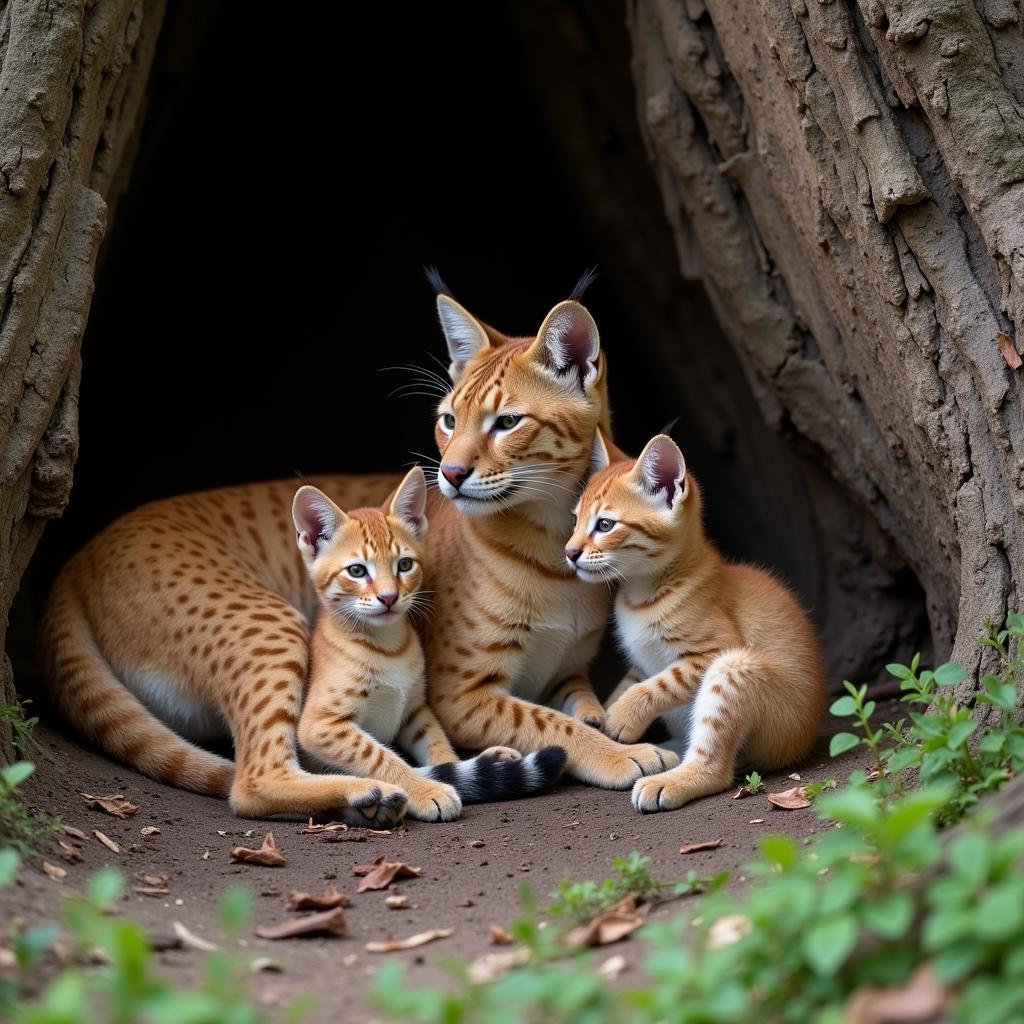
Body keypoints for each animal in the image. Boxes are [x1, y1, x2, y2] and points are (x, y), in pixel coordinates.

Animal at [294, 468, 569, 819]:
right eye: (356, 571)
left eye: (404, 564)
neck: (389, 647)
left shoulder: (415, 709)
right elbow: (380, 757)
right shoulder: (321, 725)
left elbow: (438, 743)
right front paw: (427, 790)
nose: (389, 597)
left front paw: (458, 771)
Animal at [565, 428, 827, 811]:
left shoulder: (713, 650)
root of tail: (805, 741)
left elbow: (657, 685)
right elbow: (630, 683)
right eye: (575, 521)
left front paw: (623, 716)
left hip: (736, 668)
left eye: (605, 524)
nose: (569, 552)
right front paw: (611, 712)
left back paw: (672, 780)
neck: (643, 593)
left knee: (715, 766)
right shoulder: (641, 662)